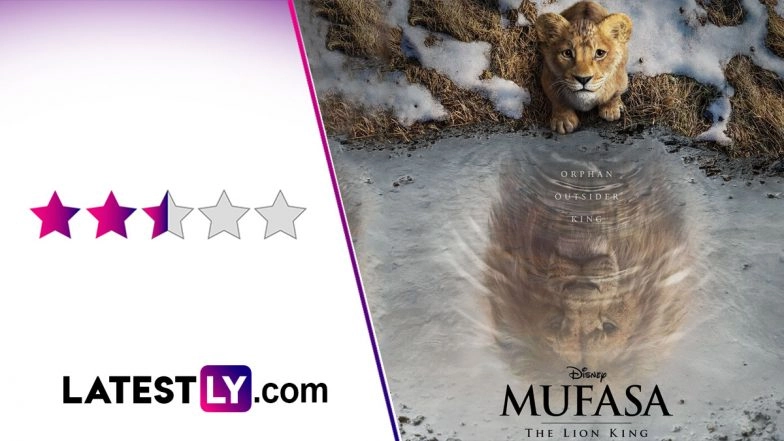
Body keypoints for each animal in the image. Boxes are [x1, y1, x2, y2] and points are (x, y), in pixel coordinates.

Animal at [535, 1, 632, 134]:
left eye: (600, 53)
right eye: (567, 53)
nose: (583, 79)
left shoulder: (622, 78)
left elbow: (614, 95)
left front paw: (611, 109)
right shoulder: (548, 78)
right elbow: (558, 100)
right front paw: (563, 120)